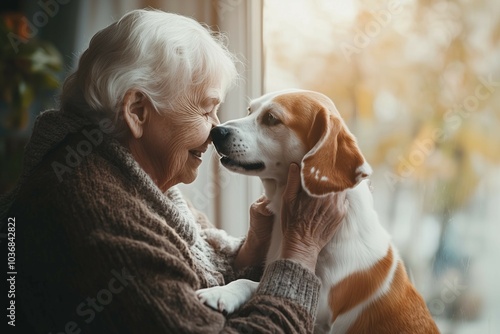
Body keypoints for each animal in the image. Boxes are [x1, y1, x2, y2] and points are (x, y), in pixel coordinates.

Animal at [197, 89, 440, 334]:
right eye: (250, 110)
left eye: (272, 118)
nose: (216, 131)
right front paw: (225, 290)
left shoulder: (321, 306)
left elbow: (252, 283)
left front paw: (222, 293)